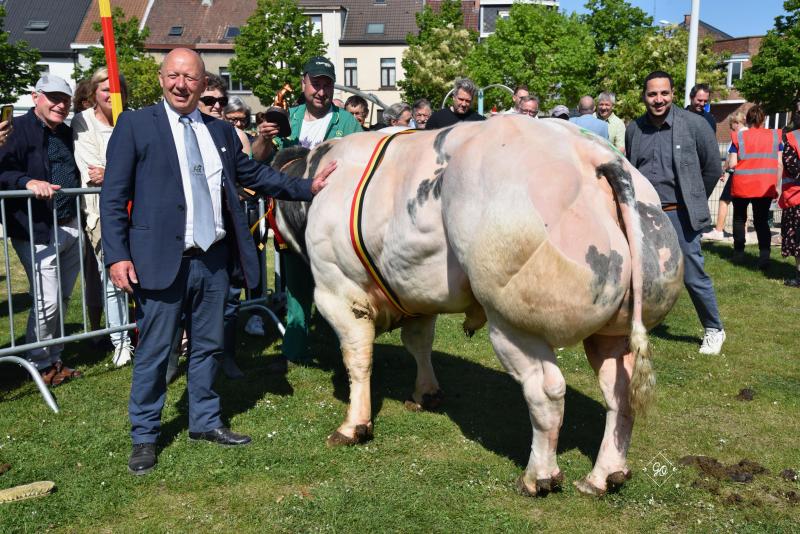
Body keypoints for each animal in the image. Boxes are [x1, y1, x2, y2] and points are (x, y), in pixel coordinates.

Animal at [268, 116, 680, 498]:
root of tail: (595, 153)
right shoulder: (415, 293)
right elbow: (419, 344)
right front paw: (426, 394)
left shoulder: (338, 291)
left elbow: (358, 361)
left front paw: (353, 426)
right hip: (613, 330)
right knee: (619, 392)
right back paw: (604, 476)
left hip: (514, 323)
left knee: (546, 391)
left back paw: (538, 477)